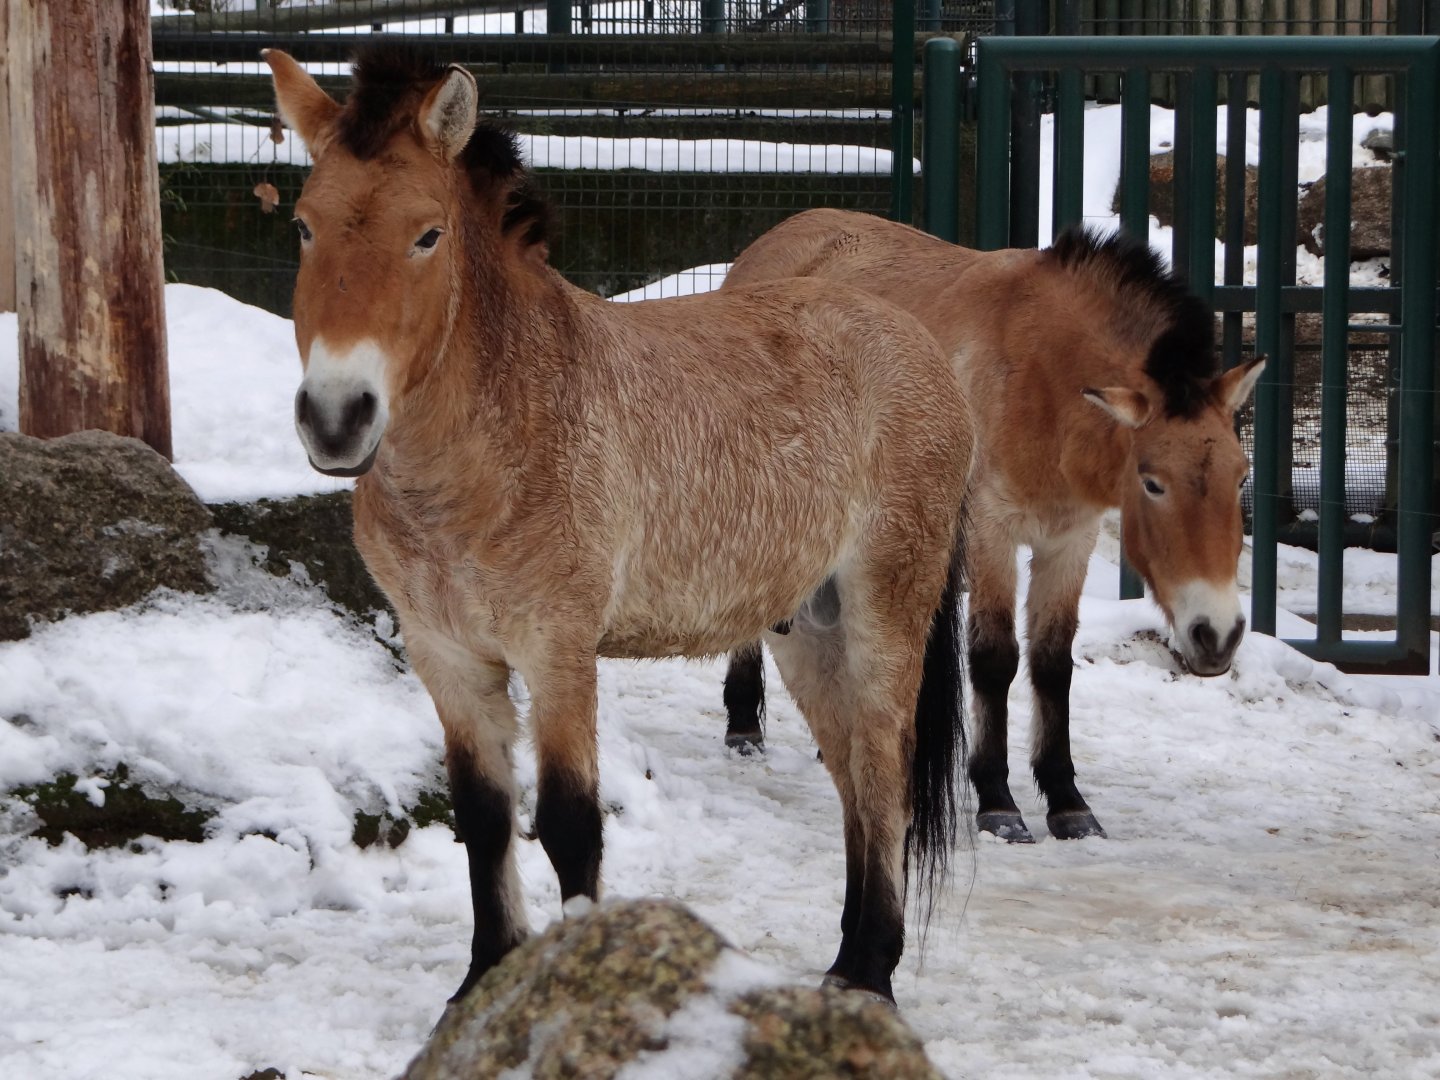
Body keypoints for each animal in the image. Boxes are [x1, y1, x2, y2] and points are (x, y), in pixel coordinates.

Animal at [263, 48, 974, 1005]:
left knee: (887, 772)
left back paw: (872, 975)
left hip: (885, 611)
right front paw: (485, 979)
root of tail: (919, 345)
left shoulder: (558, 647)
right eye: (305, 228)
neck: (502, 428)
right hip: (807, 629)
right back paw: (845, 968)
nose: (337, 418)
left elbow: (570, 826)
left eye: (427, 236)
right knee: (857, 778)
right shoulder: (446, 654)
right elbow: (484, 817)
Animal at [719, 208, 1264, 844]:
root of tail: (769, 243)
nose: (1217, 635)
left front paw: (1067, 801)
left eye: (1241, 475)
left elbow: (1052, 662)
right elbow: (995, 659)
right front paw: (998, 801)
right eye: (1153, 483)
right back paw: (742, 724)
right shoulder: (991, 533)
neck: (1044, 378)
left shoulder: (1068, 541)